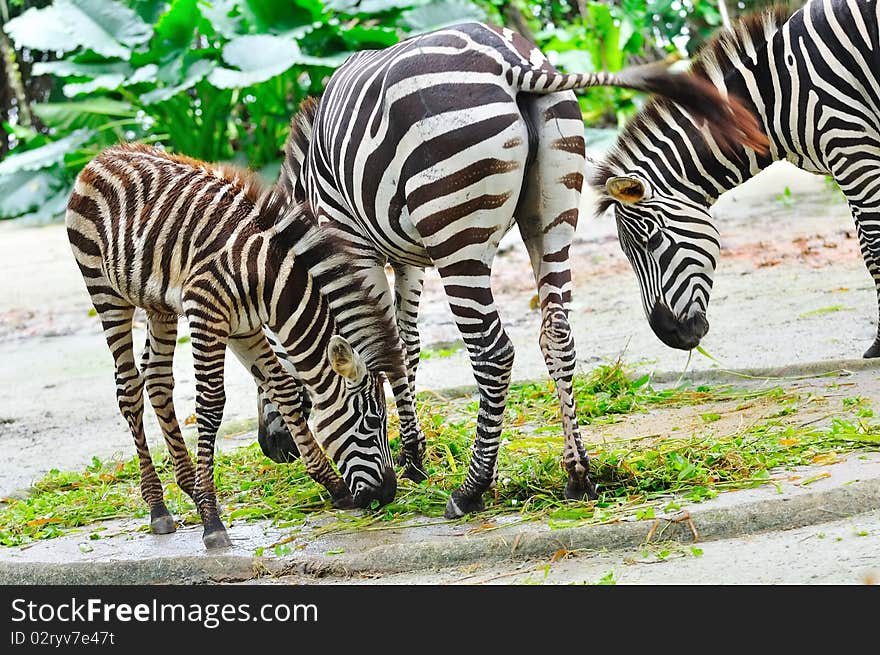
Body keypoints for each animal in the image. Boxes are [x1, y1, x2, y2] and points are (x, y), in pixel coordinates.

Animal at [65, 144, 402, 548]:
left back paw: (188, 487)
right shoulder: (206, 314)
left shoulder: (245, 328)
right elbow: (211, 405)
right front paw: (211, 521)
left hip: (158, 305)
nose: (388, 493)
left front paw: (334, 487)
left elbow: (284, 391)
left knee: (158, 382)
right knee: (129, 388)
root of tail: (107, 152)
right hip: (104, 290)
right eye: (372, 421)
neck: (269, 282)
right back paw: (159, 507)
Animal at [253, 20, 764, 520]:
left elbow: (382, 348)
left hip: (456, 233)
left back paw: (471, 489)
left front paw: (409, 458)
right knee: (557, 333)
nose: (272, 448)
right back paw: (578, 475)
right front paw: (414, 455)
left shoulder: (355, 246)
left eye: (269, 368)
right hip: (552, 212)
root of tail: (511, 61)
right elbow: (405, 344)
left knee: (492, 352)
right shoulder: (406, 259)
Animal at [588, 0, 880, 358]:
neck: (769, 100)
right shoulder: (846, 159)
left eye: (651, 241)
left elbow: (872, 248)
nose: (671, 336)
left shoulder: (852, 150)